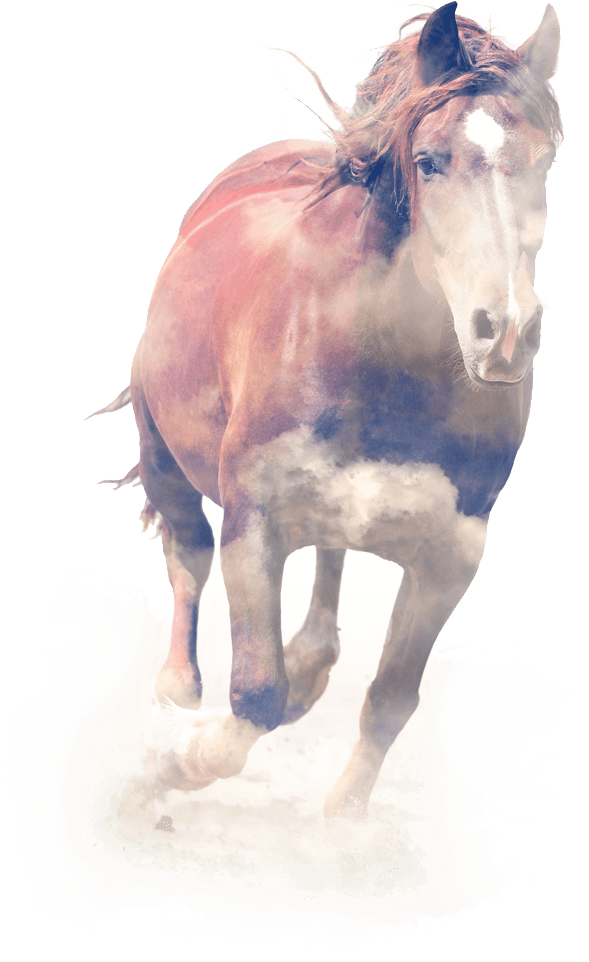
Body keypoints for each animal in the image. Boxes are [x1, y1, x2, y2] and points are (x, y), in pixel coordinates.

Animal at [85, 3, 563, 817]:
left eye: (545, 160)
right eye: (429, 161)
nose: (503, 334)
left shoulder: (451, 553)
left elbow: (390, 702)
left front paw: (338, 822)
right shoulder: (255, 519)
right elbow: (255, 692)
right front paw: (182, 761)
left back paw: (308, 666)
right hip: (162, 444)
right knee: (187, 552)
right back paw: (179, 689)